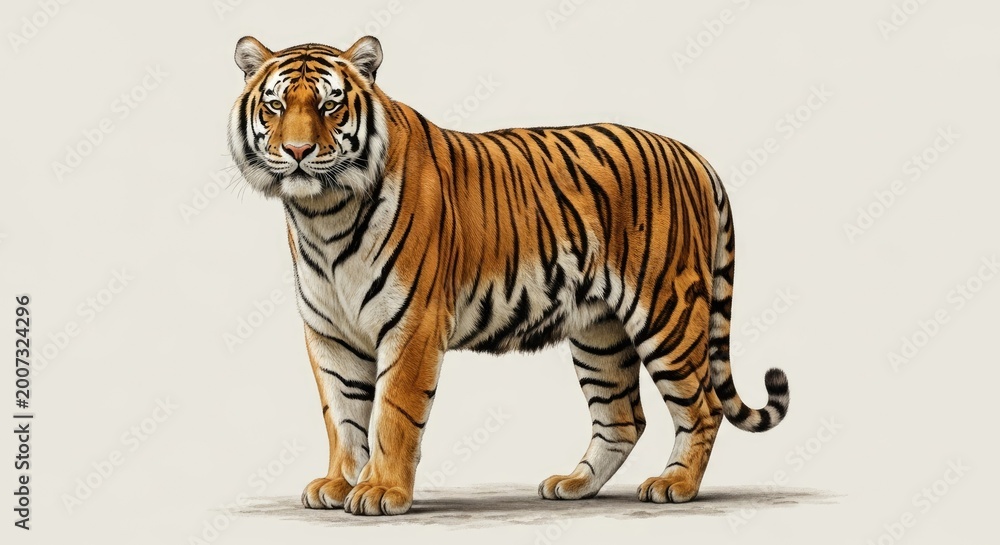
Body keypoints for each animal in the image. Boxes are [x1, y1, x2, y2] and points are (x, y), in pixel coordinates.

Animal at [228, 35, 790, 516]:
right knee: (623, 419)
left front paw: (380, 490)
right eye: (275, 106)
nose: (298, 152)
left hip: (666, 312)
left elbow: (393, 412)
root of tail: (692, 155)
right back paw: (574, 484)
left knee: (702, 406)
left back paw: (675, 484)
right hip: (600, 332)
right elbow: (342, 416)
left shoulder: (412, 325)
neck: (323, 215)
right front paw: (339, 484)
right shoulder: (330, 333)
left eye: (330, 106)